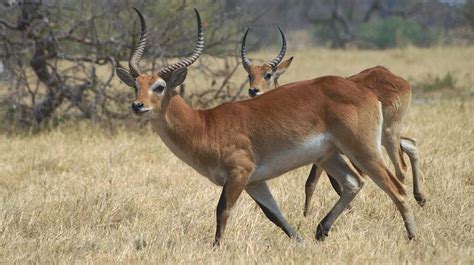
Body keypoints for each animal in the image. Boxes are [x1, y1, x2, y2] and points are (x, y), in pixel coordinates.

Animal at [241, 26, 426, 217]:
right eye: (249, 75)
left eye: (268, 74)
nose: (253, 90)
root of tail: (391, 75)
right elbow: (332, 183)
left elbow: (312, 182)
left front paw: (307, 215)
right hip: (380, 139)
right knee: (411, 144)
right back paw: (420, 199)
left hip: (386, 136)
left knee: (400, 168)